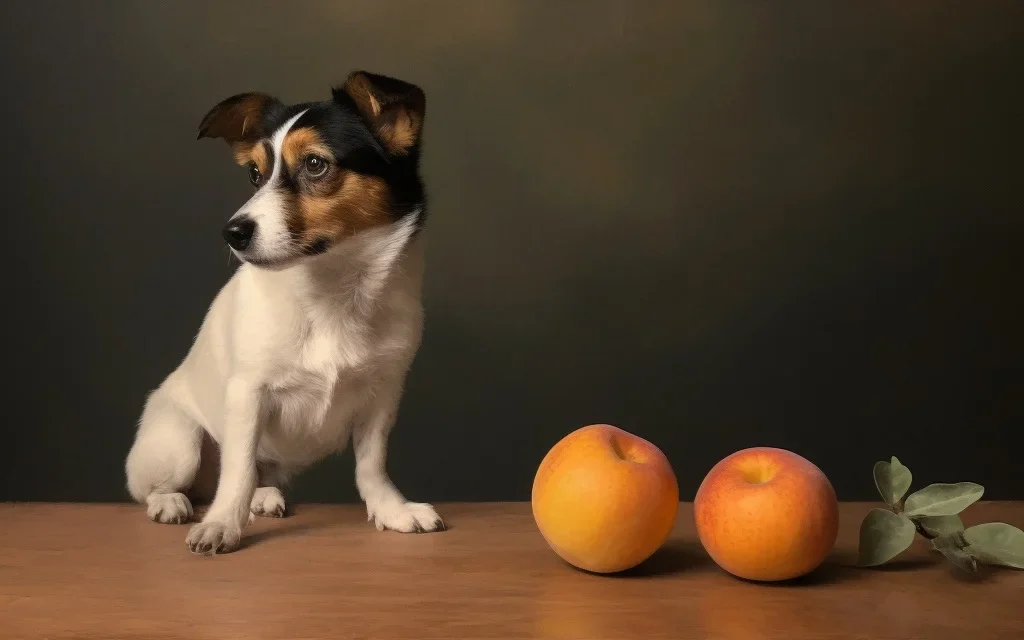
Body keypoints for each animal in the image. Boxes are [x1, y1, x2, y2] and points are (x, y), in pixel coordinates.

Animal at [123, 71, 444, 552]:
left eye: (314, 164)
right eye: (255, 174)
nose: (232, 232)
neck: (333, 291)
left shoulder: (381, 396)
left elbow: (371, 465)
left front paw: (391, 509)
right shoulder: (248, 393)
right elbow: (236, 472)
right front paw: (223, 523)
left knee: (258, 473)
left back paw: (264, 496)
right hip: (178, 441)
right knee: (164, 486)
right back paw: (172, 503)